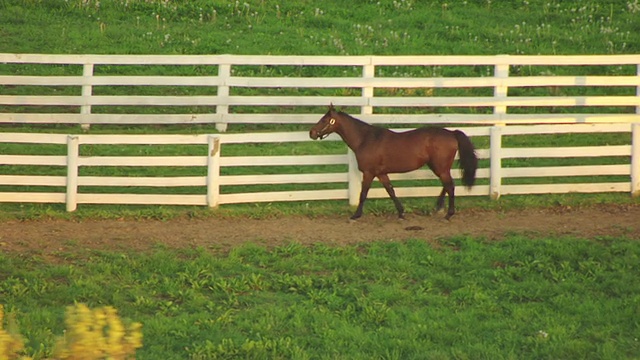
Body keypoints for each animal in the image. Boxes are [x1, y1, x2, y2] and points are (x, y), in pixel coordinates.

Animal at [308, 105, 478, 219]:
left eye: (324, 120)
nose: (312, 133)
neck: (365, 139)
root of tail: (452, 133)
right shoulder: (381, 173)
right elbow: (390, 190)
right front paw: (401, 212)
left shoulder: (369, 173)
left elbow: (363, 193)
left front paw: (356, 215)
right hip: (438, 167)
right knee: (447, 185)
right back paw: (438, 207)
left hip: (440, 167)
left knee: (450, 186)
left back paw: (448, 214)